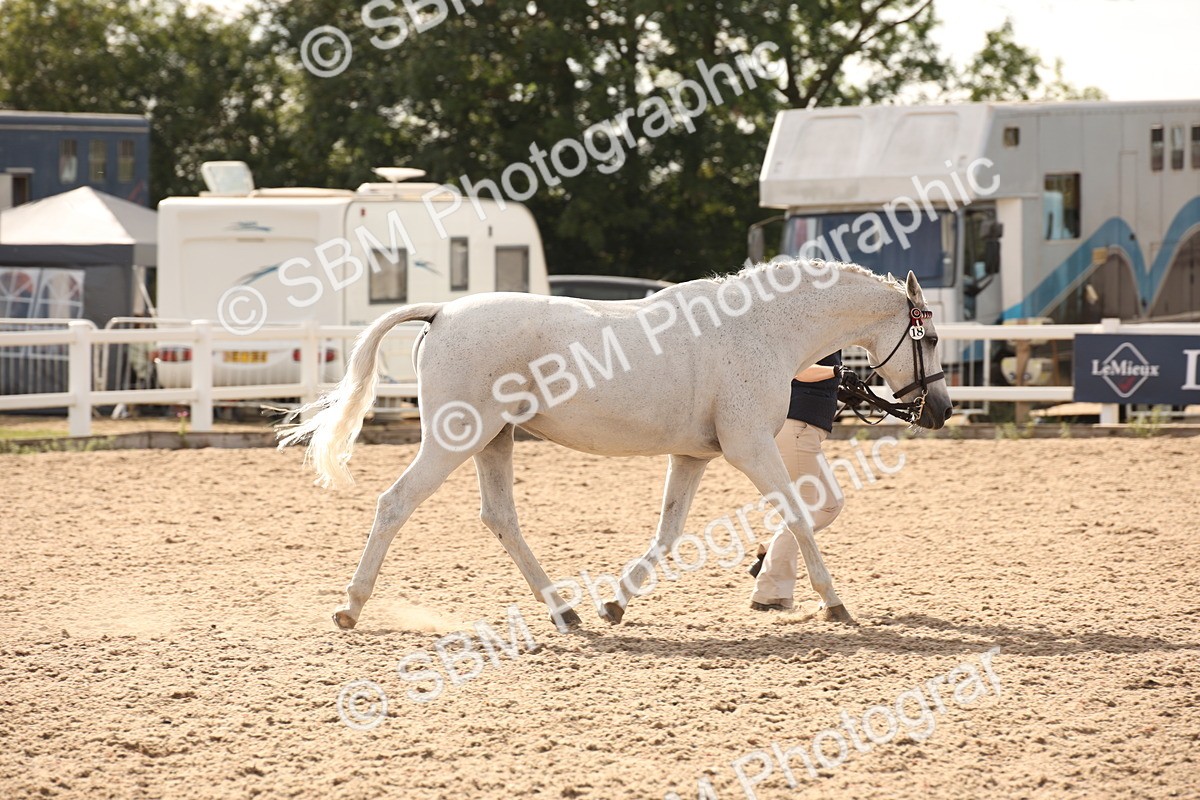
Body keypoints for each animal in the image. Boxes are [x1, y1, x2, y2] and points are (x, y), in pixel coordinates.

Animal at [277, 259, 952, 632]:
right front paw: (835, 605)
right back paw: (350, 608)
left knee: (500, 518)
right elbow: (799, 518)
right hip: (454, 439)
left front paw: (614, 605)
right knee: (395, 504)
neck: (760, 329)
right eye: (932, 337)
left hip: (496, 440)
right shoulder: (751, 448)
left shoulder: (695, 456)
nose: (941, 410)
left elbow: (668, 535)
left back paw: (566, 612)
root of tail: (442, 313)